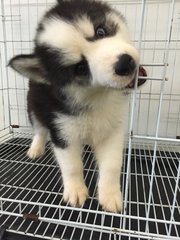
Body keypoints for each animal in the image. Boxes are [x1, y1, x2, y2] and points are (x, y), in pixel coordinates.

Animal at [9, 0, 146, 212]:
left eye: (100, 31)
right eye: (80, 68)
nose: (125, 63)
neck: (96, 98)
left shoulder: (113, 130)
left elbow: (112, 165)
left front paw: (110, 195)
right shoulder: (62, 132)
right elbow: (72, 166)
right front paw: (75, 190)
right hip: (34, 105)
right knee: (39, 128)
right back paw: (36, 148)